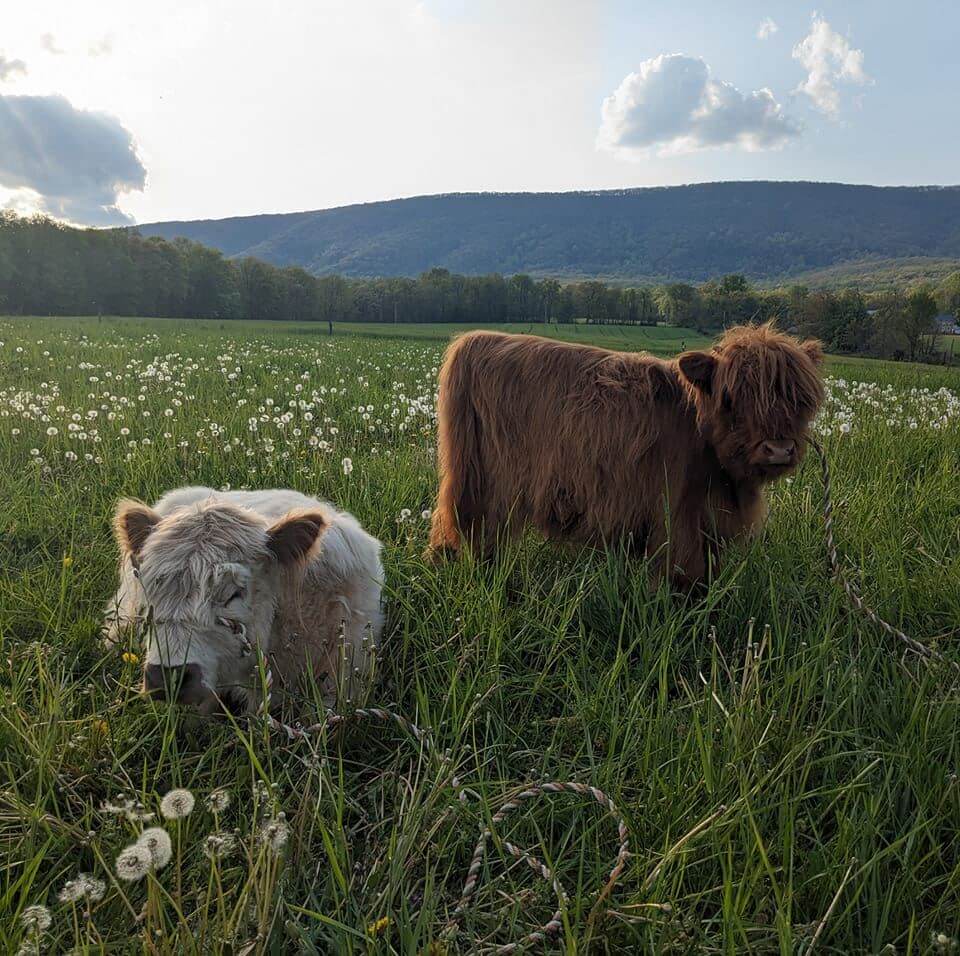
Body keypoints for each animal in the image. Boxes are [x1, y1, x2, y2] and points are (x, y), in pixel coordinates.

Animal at [427, 323, 824, 586]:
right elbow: (682, 573)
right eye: (731, 399)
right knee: (472, 532)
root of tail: (476, 340)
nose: (779, 448)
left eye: (801, 400)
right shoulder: (678, 515)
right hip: (486, 487)